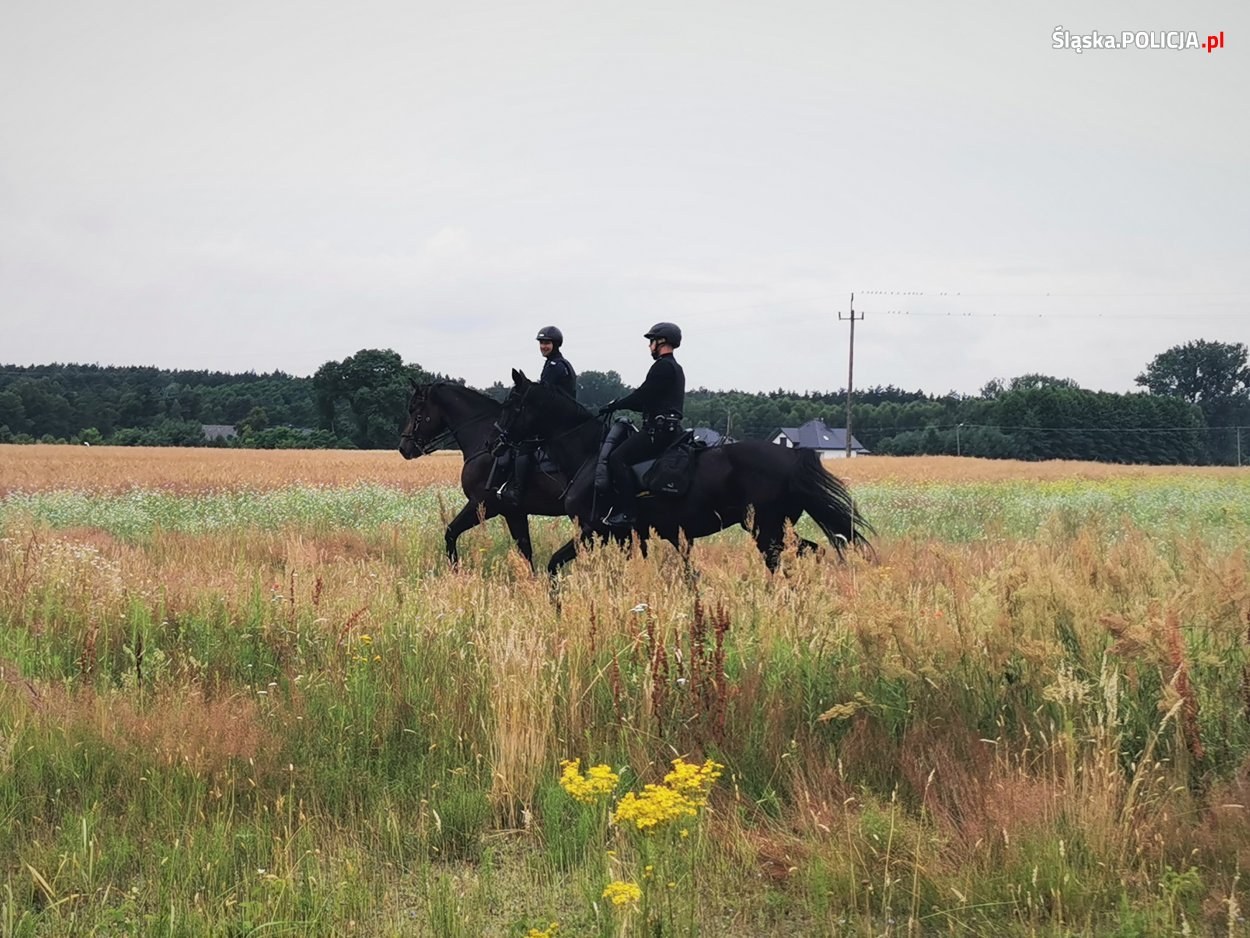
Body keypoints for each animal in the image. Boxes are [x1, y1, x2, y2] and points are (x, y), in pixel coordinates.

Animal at [397, 380, 570, 570]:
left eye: (417, 413)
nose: (403, 448)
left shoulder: (482, 504)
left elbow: (450, 532)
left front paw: (455, 570)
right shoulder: (513, 513)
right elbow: (526, 552)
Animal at [495, 370, 870, 577]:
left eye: (513, 403)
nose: (497, 440)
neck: (590, 454)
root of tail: (791, 457)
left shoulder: (596, 529)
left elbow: (553, 565)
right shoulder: (629, 536)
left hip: (766, 529)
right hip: (775, 529)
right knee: (812, 552)